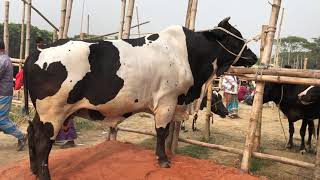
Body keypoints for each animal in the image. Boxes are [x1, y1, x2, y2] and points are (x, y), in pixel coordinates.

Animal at [23, 17, 258, 180]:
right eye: (234, 38)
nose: (254, 57)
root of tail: (38, 51)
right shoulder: (166, 101)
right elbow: (162, 132)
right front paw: (163, 159)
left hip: (43, 113)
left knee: (31, 132)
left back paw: (34, 169)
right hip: (53, 113)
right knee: (43, 142)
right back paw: (44, 174)